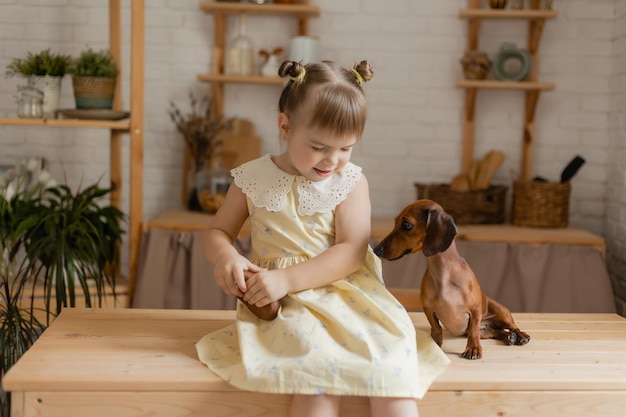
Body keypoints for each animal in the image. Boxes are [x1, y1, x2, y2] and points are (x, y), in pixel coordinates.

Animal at [372, 198, 528, 358]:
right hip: (486, 331)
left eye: (406, 225)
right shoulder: (428, 308)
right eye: (395, 222)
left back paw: (521, 336)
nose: (377, 250)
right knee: (497, 331)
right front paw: (435, 346)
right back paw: (508, 337)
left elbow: (473, 331)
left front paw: (473, 349)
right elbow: (436, 328)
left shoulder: (475, 310)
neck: (443, 274)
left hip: (501, 312)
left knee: (512, 326)